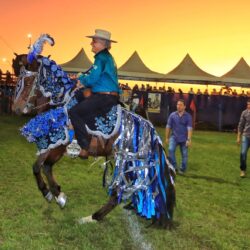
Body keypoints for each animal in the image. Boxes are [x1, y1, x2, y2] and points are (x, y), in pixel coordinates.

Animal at [12, 34, 176, 228]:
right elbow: (43, 166)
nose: (16, 108)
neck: (61, 103)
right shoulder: (52, 146)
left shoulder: (57, 145)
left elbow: (40, 166)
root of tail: (148, 128)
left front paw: (51, 193)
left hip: (125, 161)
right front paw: (56, 193)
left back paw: (91, 217)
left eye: (28, 81)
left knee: (117, 193)